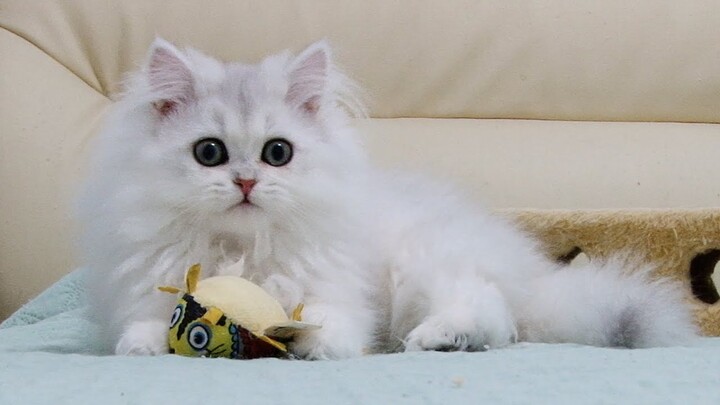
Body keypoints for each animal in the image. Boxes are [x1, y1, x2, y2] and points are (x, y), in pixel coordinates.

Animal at [79, 39, 696, 358]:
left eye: (277, 153)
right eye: (210, 153)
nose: (247, 182)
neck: (244, 249)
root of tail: (531, 277)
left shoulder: (335, 289)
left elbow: (326, 323)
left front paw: (313, 344)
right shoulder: (148, 286)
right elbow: (145, 324)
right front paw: (145, 345)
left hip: (425, 266)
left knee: (492, 314)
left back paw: (439, 339)